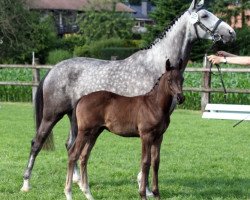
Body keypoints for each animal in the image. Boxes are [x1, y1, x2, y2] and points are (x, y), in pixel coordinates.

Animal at [65, 59, 185, 200]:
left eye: (182, 79)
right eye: (169, 80)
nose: (181, 98)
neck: (154, 105)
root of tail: (82, 98)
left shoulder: (159, 137)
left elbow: (156, 162)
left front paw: (156, 193)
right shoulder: (146, 136)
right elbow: (145, 162)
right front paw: (142, 194)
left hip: (94, 132)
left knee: (84, 156)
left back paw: (88, 193)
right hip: (84, 132)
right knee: (73, 154)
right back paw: (69, 193)